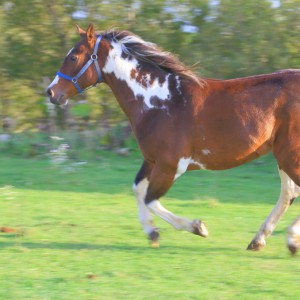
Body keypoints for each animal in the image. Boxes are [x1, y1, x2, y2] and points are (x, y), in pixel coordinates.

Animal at [47, 23, 300, 250]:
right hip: (282, 155)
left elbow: (150, 199)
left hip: (288, 155)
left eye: (73, 57)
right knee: (288, 193)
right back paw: (260, 240)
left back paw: (287, 239)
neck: (159, 101)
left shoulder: (172, 165)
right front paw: (152, 232)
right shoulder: (152, 160)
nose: (51, 93)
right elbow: (138, 189)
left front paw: (198, 227)